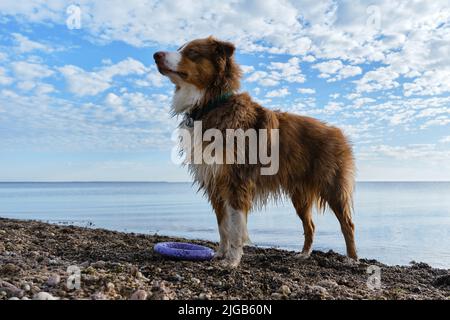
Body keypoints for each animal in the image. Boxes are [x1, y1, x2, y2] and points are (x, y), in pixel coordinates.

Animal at [155, 35, 358, 268]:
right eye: (180, 48)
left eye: (193, 53)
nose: (155, 55)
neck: (211, 104)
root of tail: (338, 132)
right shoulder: (215, 182)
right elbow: (223, 226)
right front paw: (220, 254)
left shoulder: (236, 182)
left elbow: (235, 227)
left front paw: (232, 261)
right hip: (299, 195)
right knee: (310, 226)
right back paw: (304, 254)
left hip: (333, 186)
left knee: (348, 224)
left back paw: (352, 259)